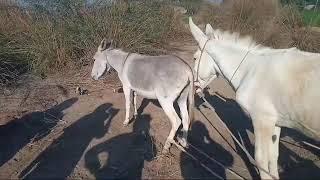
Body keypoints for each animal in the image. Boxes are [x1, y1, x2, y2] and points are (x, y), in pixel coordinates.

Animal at [189, 17, 320, 179]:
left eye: (195, 58)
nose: (192, 87)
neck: (251, 70)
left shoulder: (261, 120)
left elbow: (261, 160)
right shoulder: (275, 122)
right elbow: (273, 156)